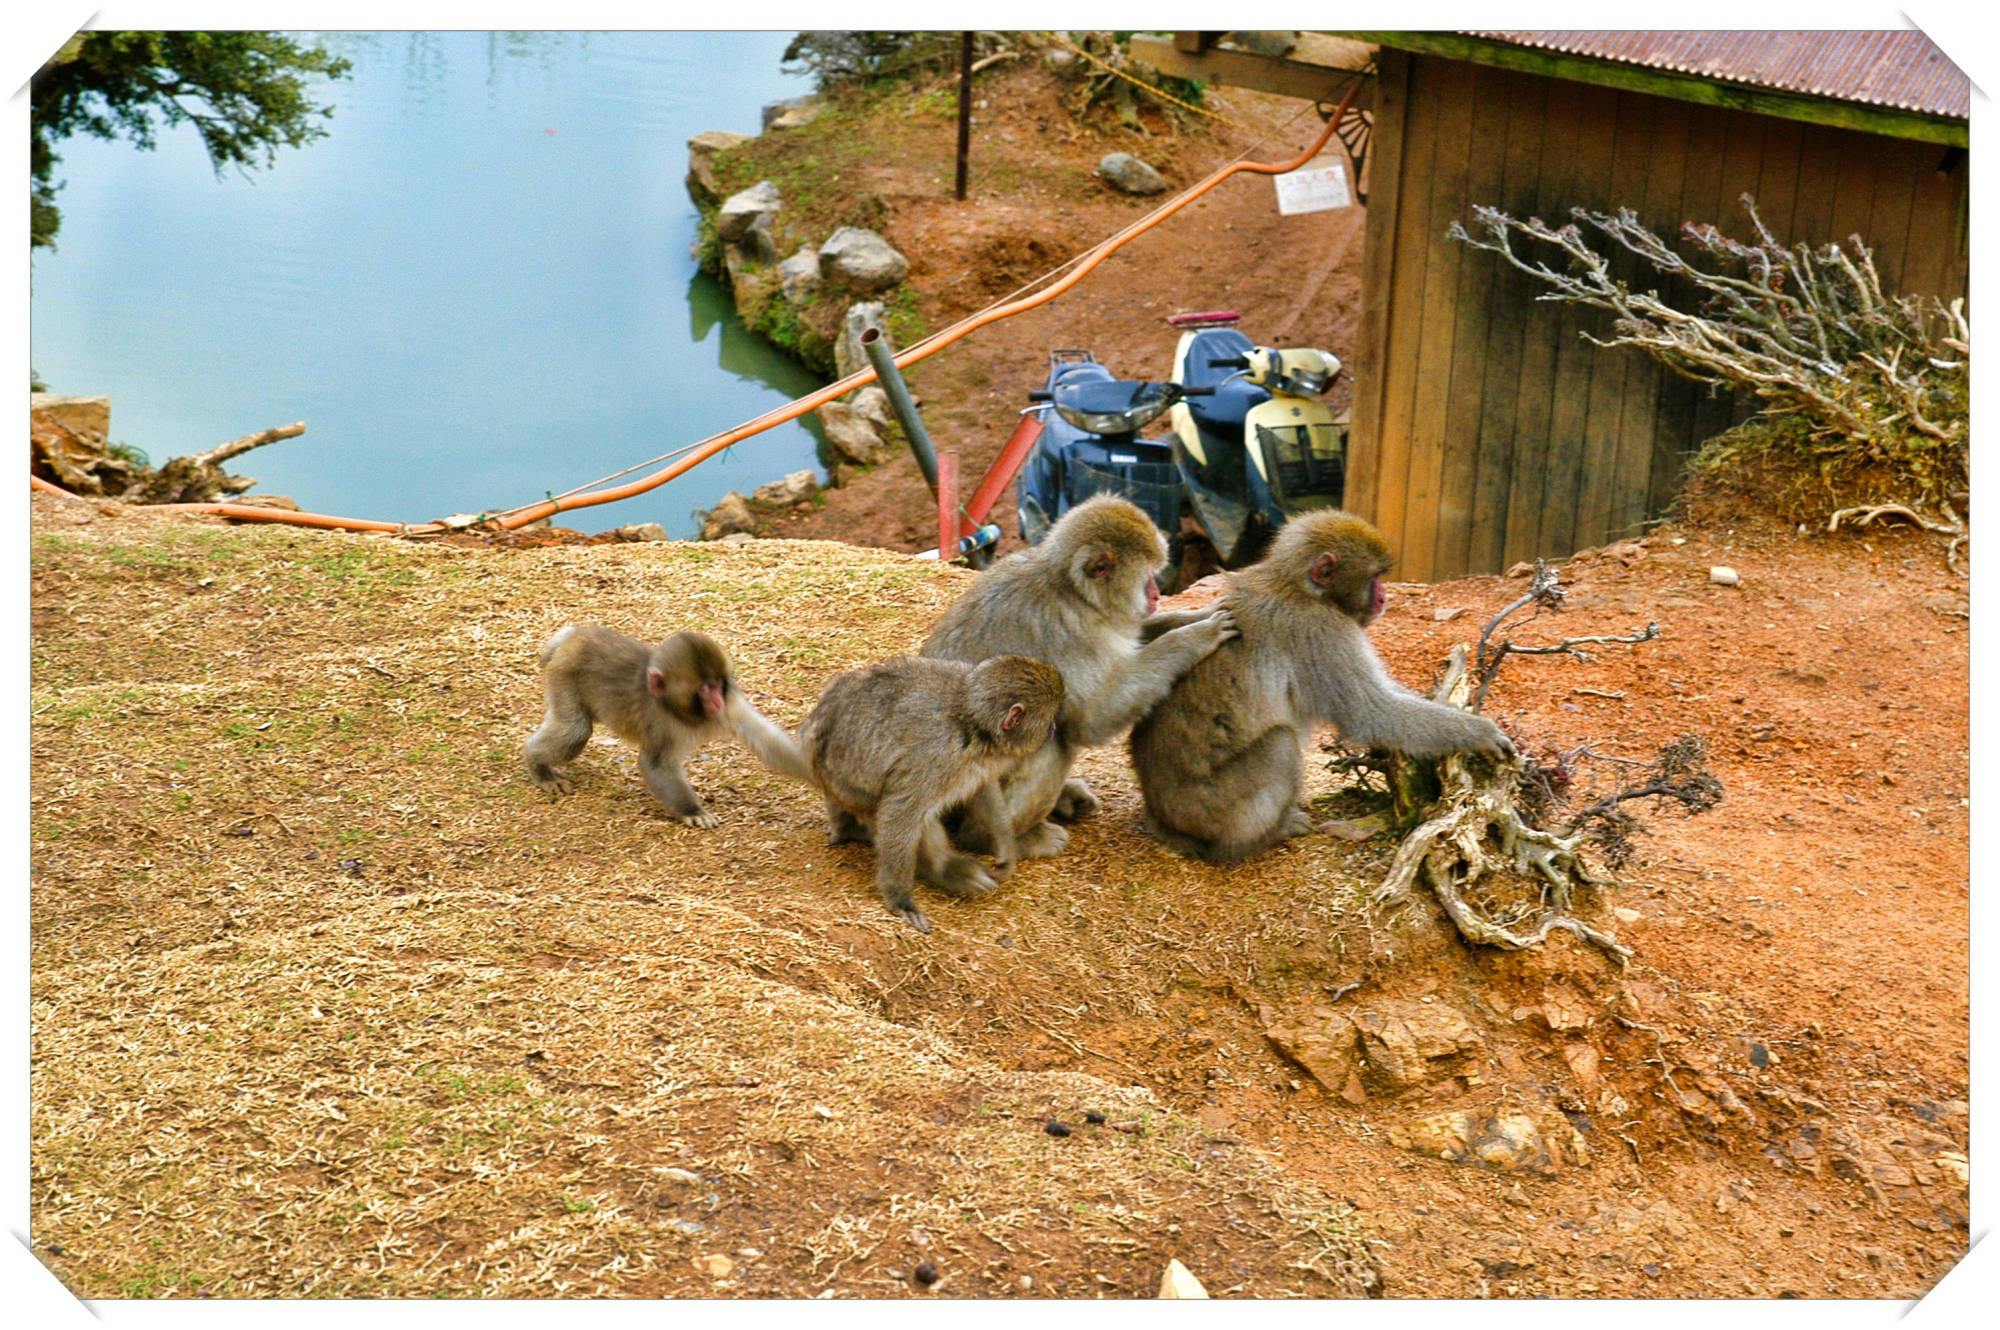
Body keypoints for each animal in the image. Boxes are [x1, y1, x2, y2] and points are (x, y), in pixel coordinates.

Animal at [524, 625, 810, 827]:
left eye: (717, 684)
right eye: (704, 689)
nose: (716, 701)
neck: (683, 711)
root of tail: (573, 635)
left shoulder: (731, 704)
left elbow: (763, 737)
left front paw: (809, 769)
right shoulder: (660, 723)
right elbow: (656, 764)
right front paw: (692, 811)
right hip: (564, 676)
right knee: (575, 730)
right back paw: (537, 765)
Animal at [797, 654, 1065, 933]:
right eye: (1049, 718)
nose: (1054, 728)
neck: (972, 725)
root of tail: (811, 728)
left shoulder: (977, 761)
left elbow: (981, 788)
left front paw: (1005, 847)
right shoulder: (936, 759)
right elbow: (900, 812)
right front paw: (901, 901)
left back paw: (845, 827)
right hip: (844, 782)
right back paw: (945, 871)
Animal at [920, 494, 1237, 861]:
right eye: (1148, 576)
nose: (1157, 595)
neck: (1073, 593)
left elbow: (1138, 636)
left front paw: (1200, 615)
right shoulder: (1067, 633)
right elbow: (1091, 719)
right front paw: (1196, 636)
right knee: (1054, 740)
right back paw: (993, 837)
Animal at [1130, 509, 1514, 864]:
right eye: (1375, 578)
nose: (1384, 599)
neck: (1298, 588)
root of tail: (1161, 814)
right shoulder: (1323, 629)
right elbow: (1371, 714)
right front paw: (1479, 732)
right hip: (1209, 808)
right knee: (1279, 744)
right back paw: (1255, 840)